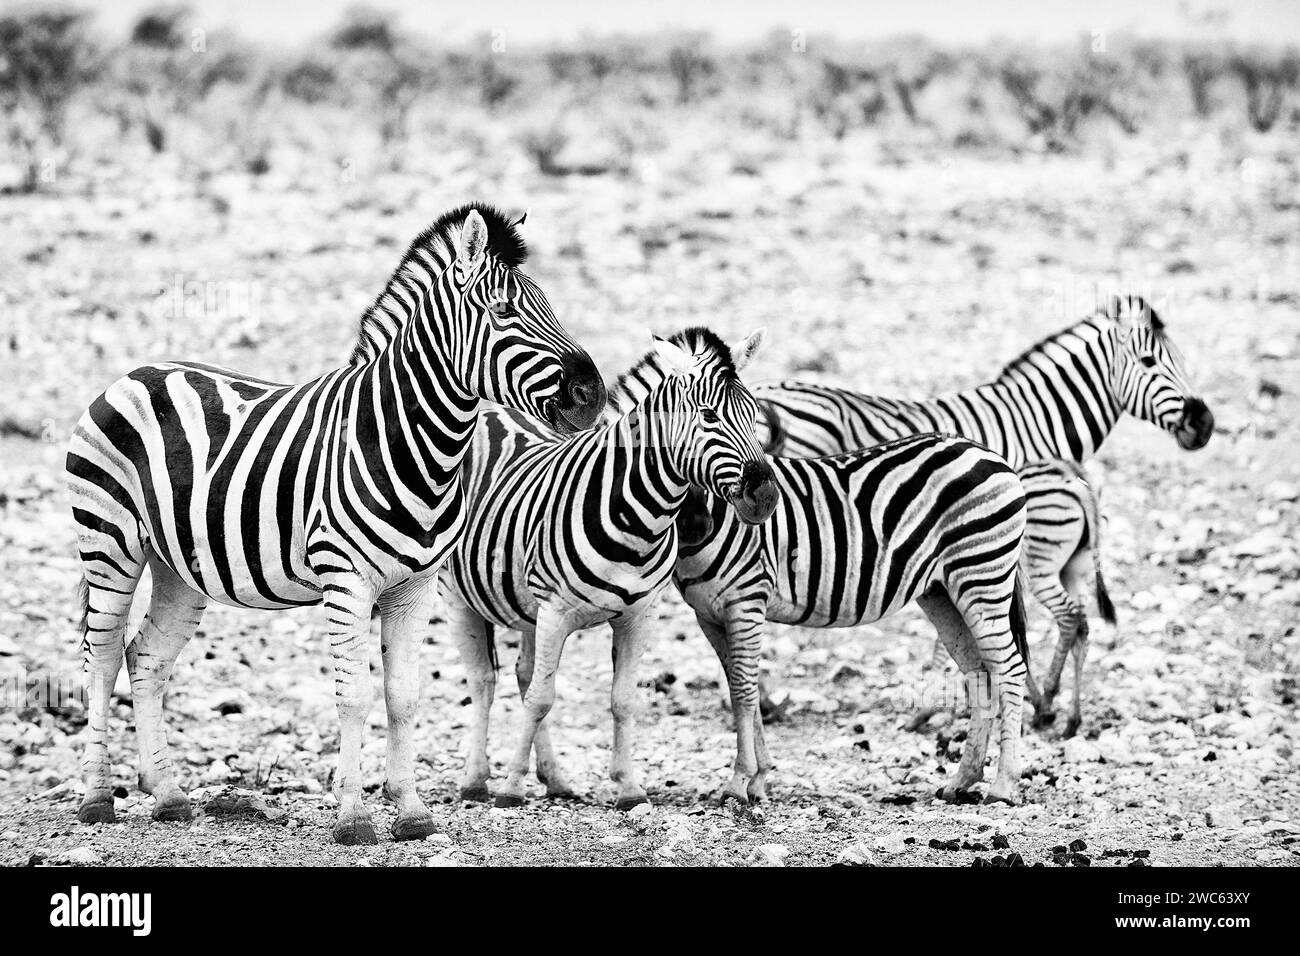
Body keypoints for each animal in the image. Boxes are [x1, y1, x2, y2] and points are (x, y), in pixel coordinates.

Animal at [65, 203, 606, 845]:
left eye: (548, 303)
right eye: (503, 311)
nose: (592, 394)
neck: (416, 446)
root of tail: (135, 371)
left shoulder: (416, 586)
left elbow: (403, 697)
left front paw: (413, 814)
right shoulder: (345, 580)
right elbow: (354, 697)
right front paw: (352, 818)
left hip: (178, 568)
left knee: (144, 658)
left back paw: (169, 796)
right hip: (110, 543)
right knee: (100, 658)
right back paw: (97, 800)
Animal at [441, 327, 779, 808]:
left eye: (755, 415)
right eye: (710, 415)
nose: (764, 497)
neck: (637, 518)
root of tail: (489, 408)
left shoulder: (639, 616)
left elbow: (622, 700)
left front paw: (629, 787)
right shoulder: (556, 611)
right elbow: (541, 698)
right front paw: (511, 787)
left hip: (526, 608)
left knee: (522, 675)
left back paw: (555, 779)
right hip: (457, 597)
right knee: (484, 682)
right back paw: (476, 779)